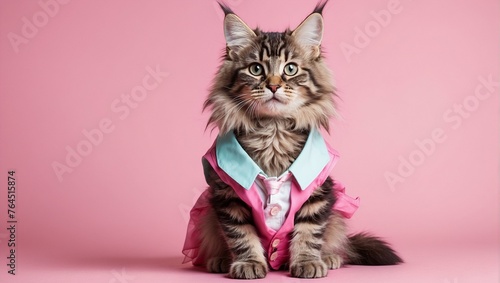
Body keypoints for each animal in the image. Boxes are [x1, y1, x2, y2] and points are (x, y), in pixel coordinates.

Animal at [183, 0, 402, 280]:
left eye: (290, 69)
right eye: (256, 69)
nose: (274, 86)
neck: (274, 132)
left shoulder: (317, 193)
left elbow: (309, 233)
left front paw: (308, 262)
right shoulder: (227, 195)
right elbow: (241, 235)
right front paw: (248, 263)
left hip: (338, 217)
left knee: (339, 243)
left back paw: (330, 258)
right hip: (206, 217)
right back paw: (219, 260)